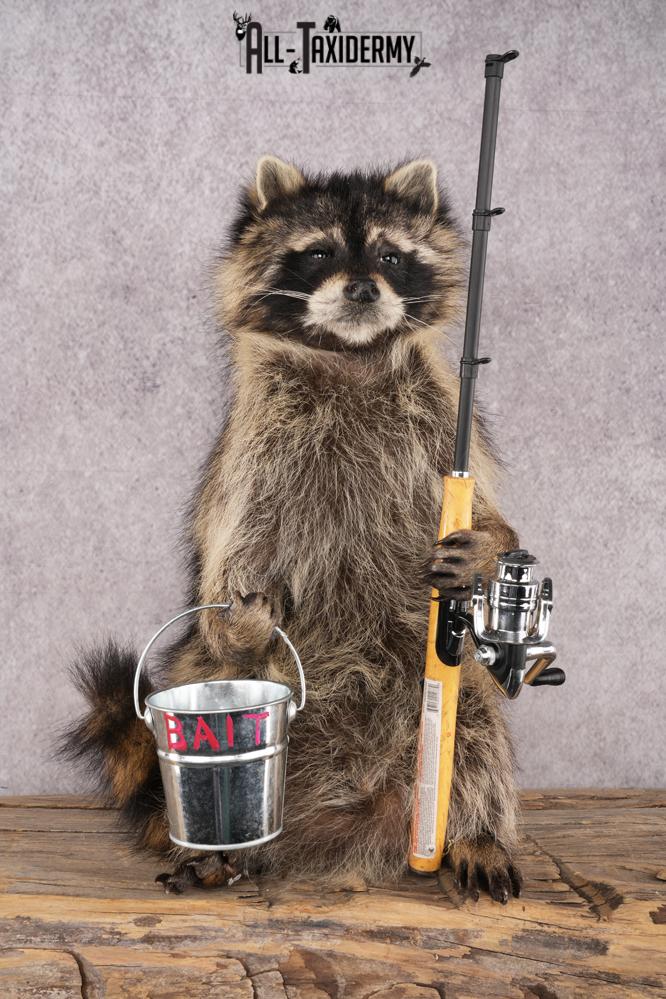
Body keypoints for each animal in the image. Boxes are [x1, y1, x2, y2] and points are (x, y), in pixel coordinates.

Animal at [63, 157, 522, 903]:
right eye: (321, 253)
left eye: (391, 256)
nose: (363, 286)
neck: (350, 353)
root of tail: (353, 810)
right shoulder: (256, 451)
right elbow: (229, 559)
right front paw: (238, 614)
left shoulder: (440, 421)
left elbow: (486, 514)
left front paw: (490, 545)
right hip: (216, 678)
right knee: (226, 665)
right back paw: (228, 850)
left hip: (439, 700)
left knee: (479, 728)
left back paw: (479, 830)